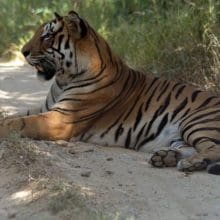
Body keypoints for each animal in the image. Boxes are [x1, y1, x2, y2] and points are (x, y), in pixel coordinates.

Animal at [0, 10, 220, 175]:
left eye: (47, 36)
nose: (23, 52)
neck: (63, 78)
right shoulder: (46, 107)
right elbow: (16, 115)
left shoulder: (61, 118)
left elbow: (19, 122)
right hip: (180, 136)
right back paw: (166, 157)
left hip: (196, 122)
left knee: (212, 148)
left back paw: (189, 163)